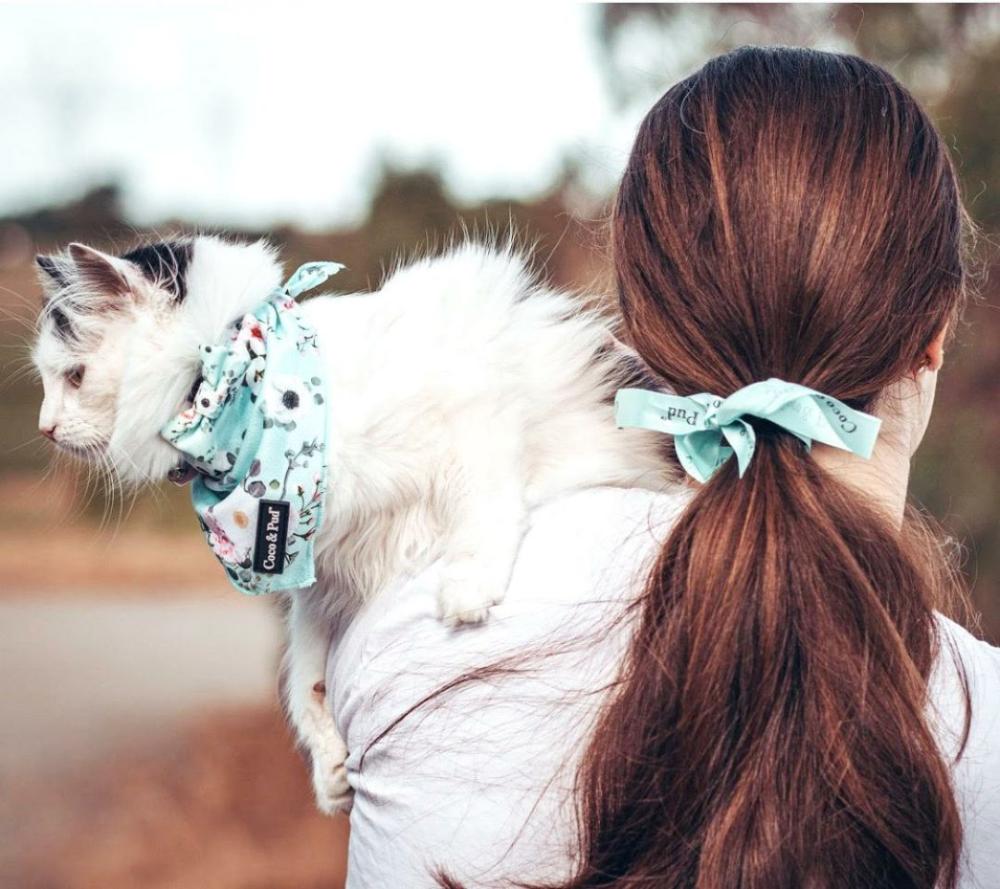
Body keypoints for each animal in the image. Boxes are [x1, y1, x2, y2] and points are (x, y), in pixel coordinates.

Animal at [31, 234, 668, 812]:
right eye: (51, 381)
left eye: (74, 378)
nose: (45, 429)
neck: (254, 392)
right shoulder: (317, 574)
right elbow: (303, 678)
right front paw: (329, 769)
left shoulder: (475, 412)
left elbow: (484, 508)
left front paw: (467, 587)